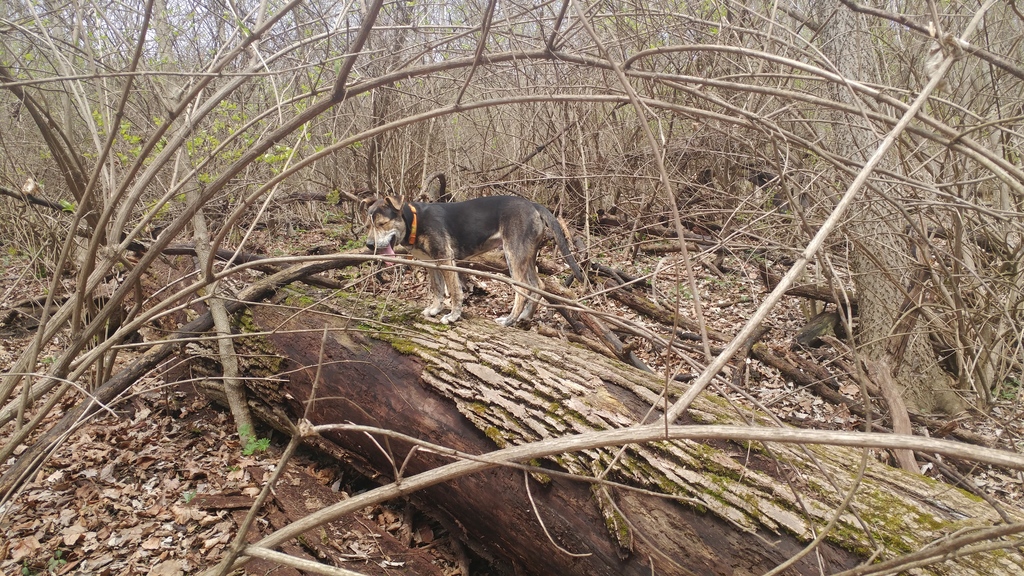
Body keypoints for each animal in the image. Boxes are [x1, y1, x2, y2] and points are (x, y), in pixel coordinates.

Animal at [364, 194, 585, 325]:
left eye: (382, 224)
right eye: (368, 225)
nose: (369, 245)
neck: (414, 221)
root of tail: (532, 204)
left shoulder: (446, 260)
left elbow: (454, 291)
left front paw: (453, 316)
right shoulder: (431, 263)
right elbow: (437, 289)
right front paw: (435, 309)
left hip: (513, 254)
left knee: (523, 289)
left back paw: (509, 320)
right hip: (527, 255)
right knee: (538, 285)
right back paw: (525, 317)